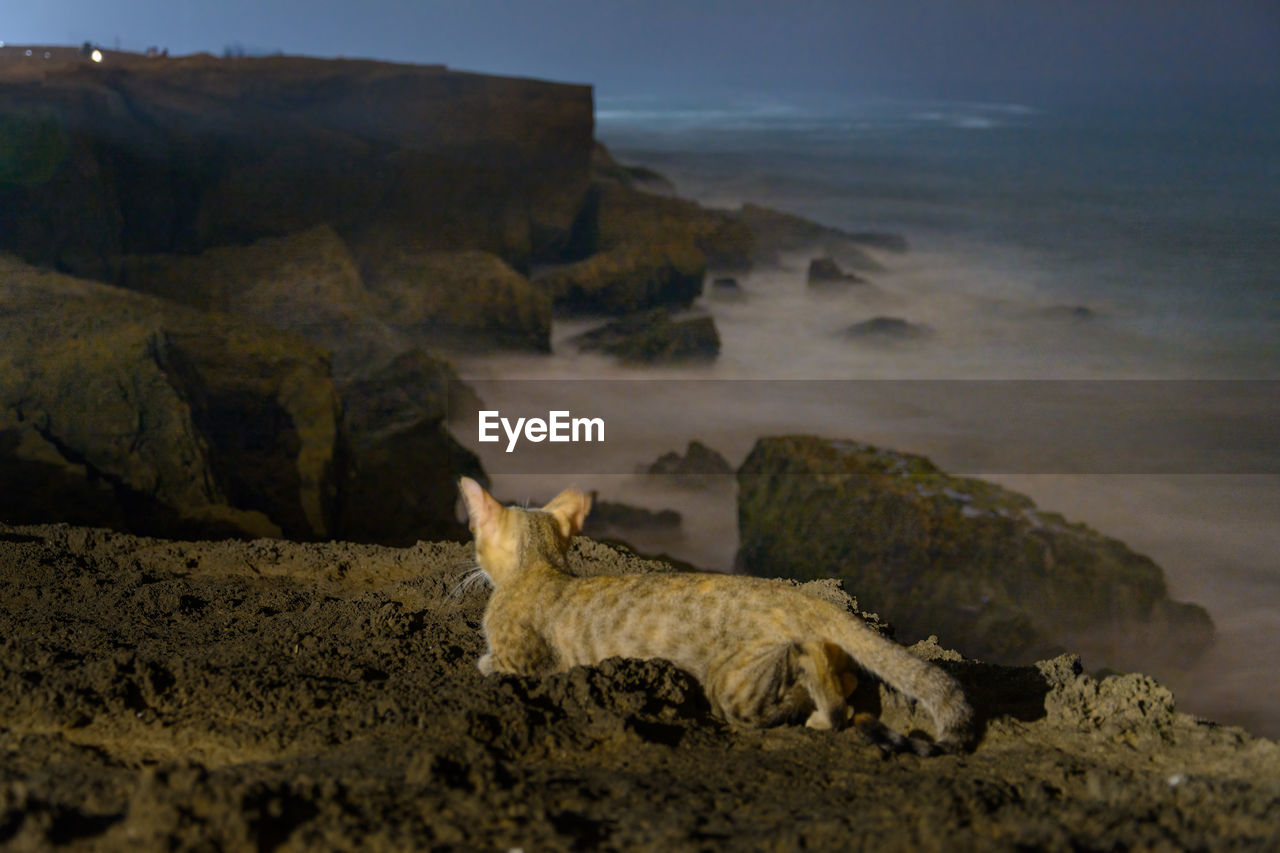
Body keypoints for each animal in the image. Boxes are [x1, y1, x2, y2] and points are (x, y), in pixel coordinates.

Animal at [458, 479, 967, 753]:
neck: (540, 567)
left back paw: (821, 715)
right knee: (843, 679)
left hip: (732, 682)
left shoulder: (525, 662)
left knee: (805, 673)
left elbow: (491, 662)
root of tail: (802, 597)